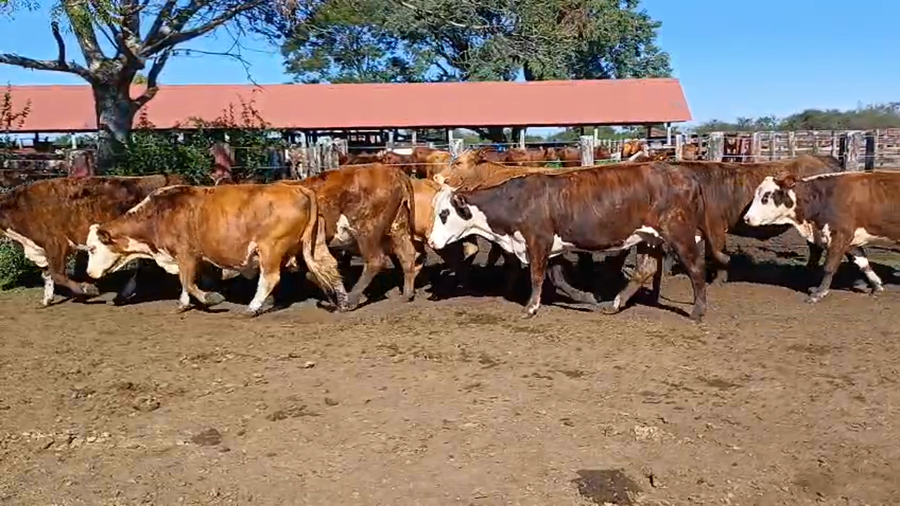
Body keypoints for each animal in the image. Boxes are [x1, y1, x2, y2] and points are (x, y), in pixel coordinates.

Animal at [0, 174, 186, 307]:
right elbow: (47, 274)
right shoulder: (39, 249)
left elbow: (57, 274)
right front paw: (46, 300)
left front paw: (87, 288)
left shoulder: (57, 243)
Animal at [83, 183, 346, 316]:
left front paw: (211, 298)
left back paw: (252, 307)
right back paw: (343, 302)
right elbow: (187, 283)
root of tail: (298, 188)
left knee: (270, 278)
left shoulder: (186, 254)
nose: (89, 273)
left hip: (271, 248)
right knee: (330, 267)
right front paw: (183, 304)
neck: (159, 214)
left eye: (93, 249)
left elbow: (188, 281)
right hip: (315, 243)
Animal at [283, 163, 419, 311]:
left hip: (367, 231)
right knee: (407, 255)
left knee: (375, 261)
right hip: (397, 227)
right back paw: (407, 295)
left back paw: (352, 300)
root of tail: (392, 171)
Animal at [427, 161, 724, 321]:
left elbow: (536, 276)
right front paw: (587, 298)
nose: (431, 241)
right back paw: (614, 305)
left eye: (444, 213)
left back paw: (697, 311)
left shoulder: (538, 241)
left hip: (679, 233)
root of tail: (685, 174)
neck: (517, 201)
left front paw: (530, 308)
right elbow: (558, 278)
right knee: (645, 269)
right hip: (649, 238)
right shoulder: (552, 246)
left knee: (696, 268)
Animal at [743, 171, 900, 303]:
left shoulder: (839, 235)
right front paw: (877, 286)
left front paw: (818, 293)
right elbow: (862, 263)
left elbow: (829, 267)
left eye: (765, 197)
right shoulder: (850, 240)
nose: (746, 218)